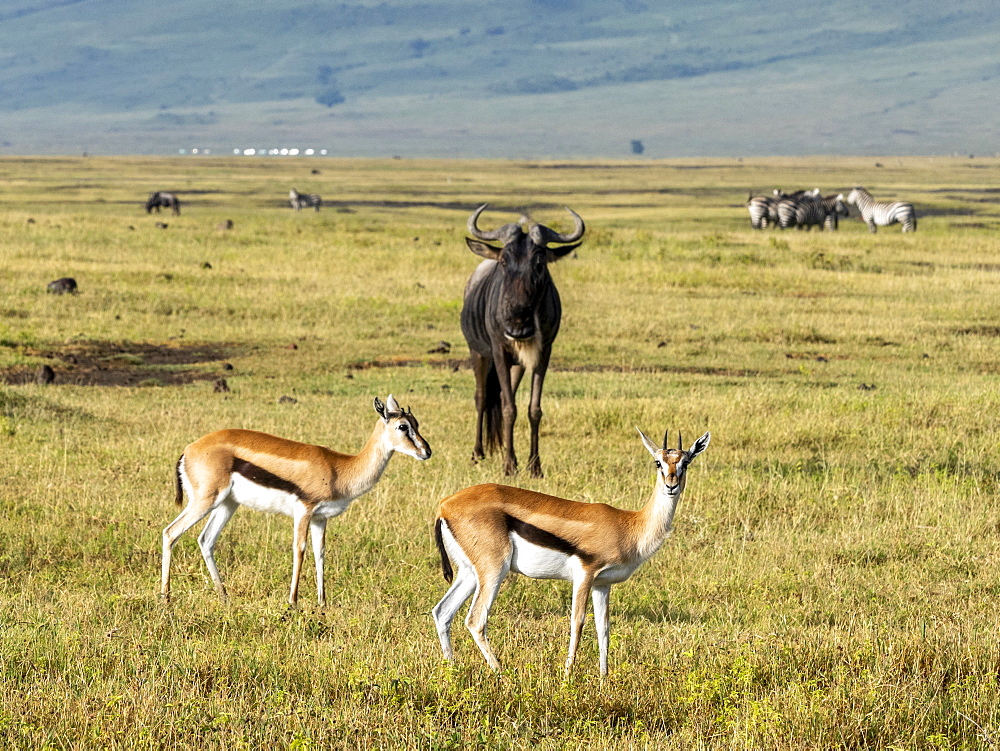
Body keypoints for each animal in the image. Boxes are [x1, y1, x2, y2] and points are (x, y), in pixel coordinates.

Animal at [160, 396, 430, 608]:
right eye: (403, 426)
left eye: (416, 423)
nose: (426, 452)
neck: (339, 468)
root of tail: (188, 450)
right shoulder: (304, 510)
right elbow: (299, 550)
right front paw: (293, 601)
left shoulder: (320, 518)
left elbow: (320, 552)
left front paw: (322, 602)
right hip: (205, 500)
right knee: (170, 532)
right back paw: (166, 597)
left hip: (227, 504)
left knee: (206, 540)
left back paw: (224, 597)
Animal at [434, 426, 708, 680]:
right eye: (658, 462)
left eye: (685, 462)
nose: (671, 485)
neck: (629, 525)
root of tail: (445, 505)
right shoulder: (585, 575)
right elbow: (577, 622)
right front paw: (567, 677)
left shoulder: (602, 584)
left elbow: (603, 628)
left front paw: (603, 678)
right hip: (494, 571)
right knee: (475, 620)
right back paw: (503, 673)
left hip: (470, 574)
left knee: (442, 612)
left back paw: (452, 670)